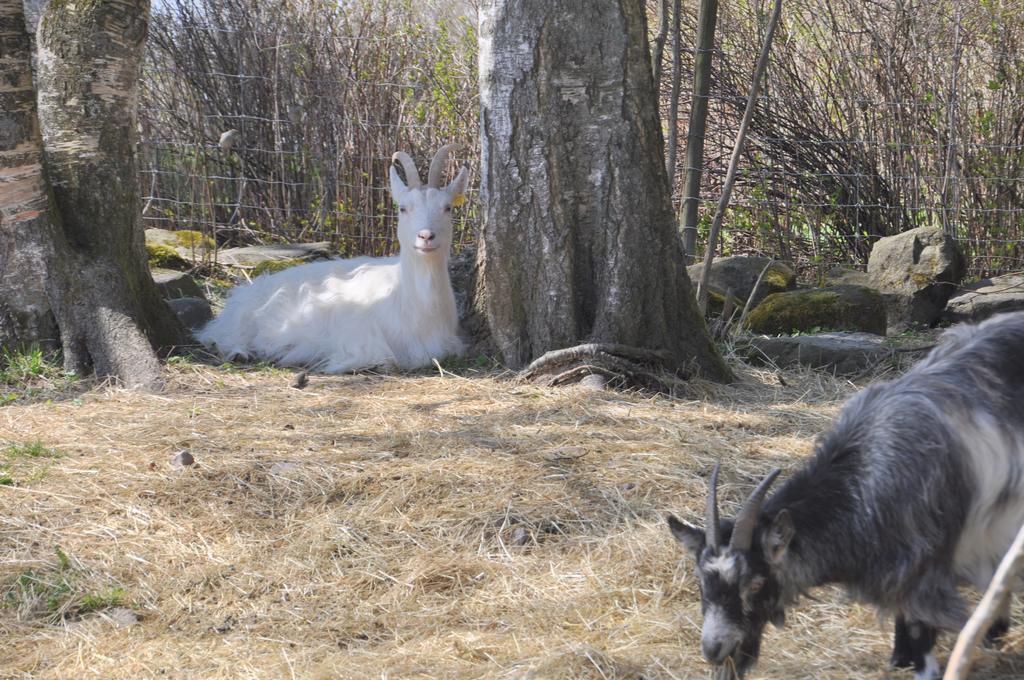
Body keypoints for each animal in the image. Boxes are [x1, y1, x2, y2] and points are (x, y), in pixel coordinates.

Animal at [197, 145, 468, 374]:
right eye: (403, 208)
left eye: (448, 208)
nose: (426, 236)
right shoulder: (358, 336)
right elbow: (382, 358)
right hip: (243, 320)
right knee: (221, 337)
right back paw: (240, 353)